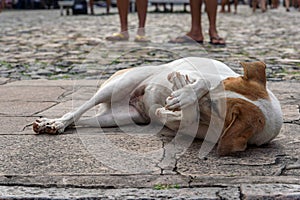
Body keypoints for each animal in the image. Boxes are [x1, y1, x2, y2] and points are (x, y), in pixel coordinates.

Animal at [33, 57, 284, 155]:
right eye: (225, 83)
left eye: (215, 109)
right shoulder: (200, 74)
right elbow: (199, 81)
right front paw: (183, 95)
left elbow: (186, 119)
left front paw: (173, 110)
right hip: (119, 84)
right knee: (74, 111)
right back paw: (56, 122)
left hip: (118, 117)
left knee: (82, 120)